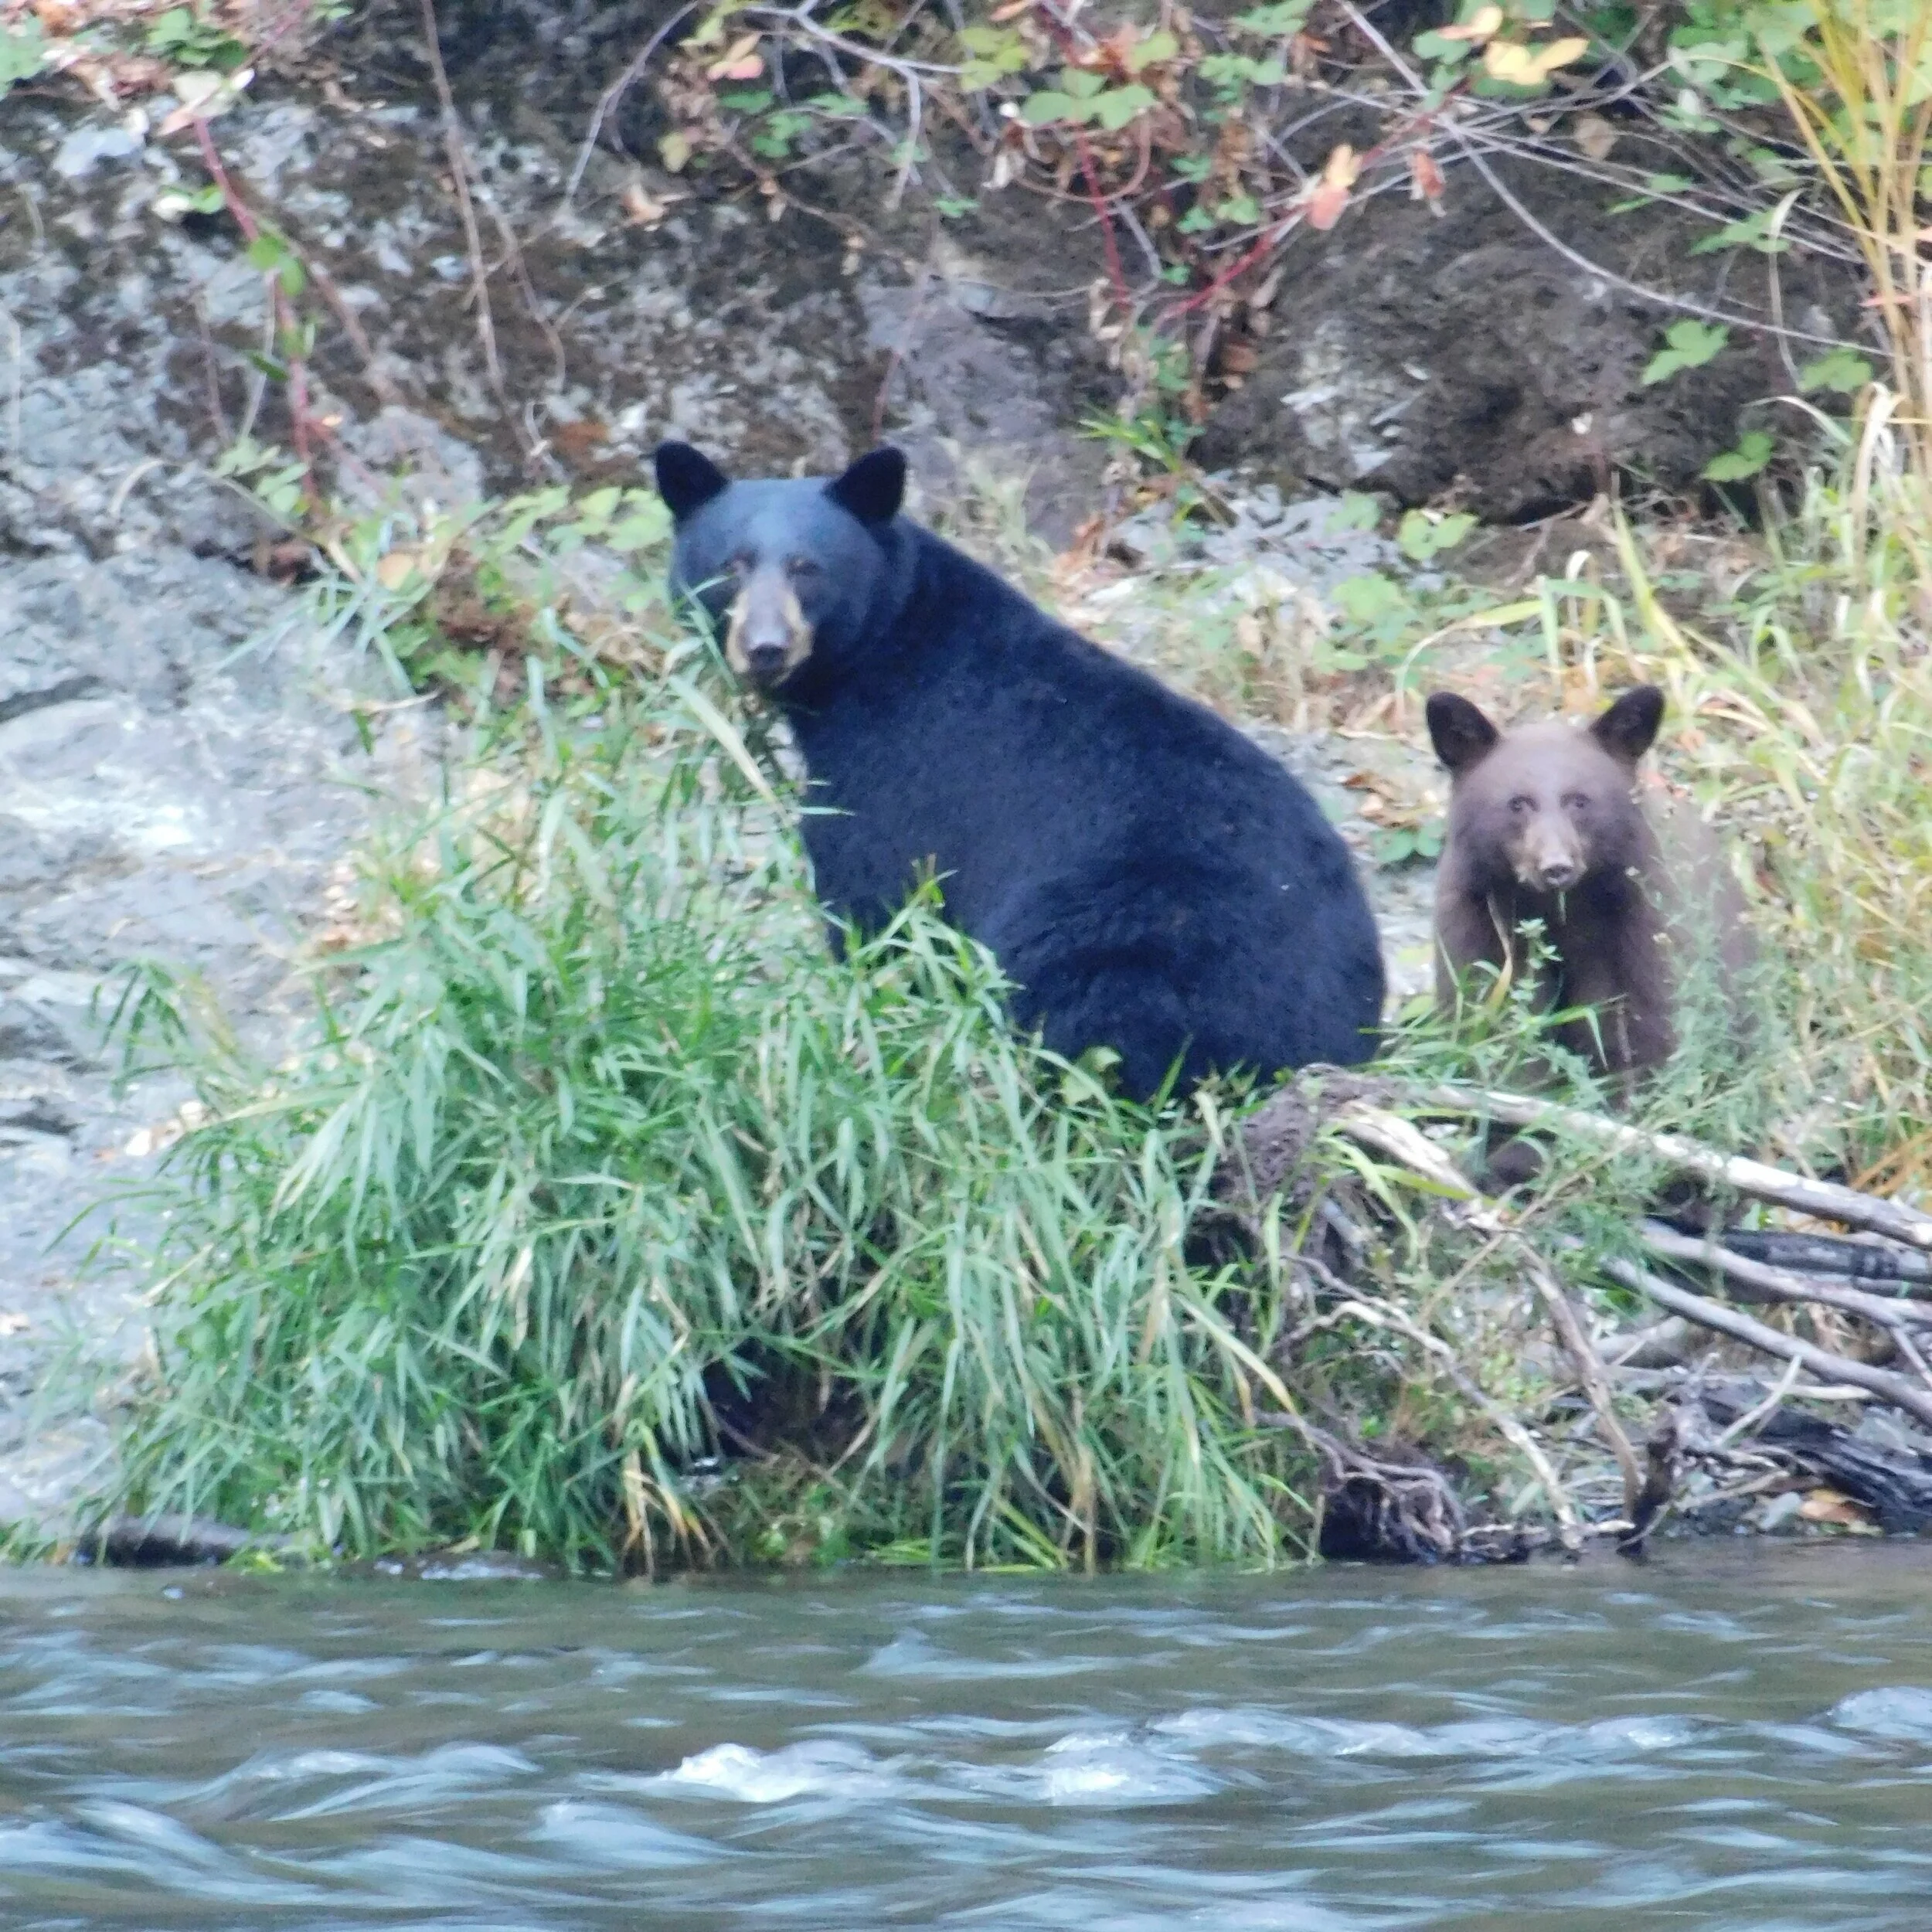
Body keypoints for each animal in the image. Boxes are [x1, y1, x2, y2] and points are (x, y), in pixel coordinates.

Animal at [653, 439, 1386, 1099]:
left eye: (808, 568)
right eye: (732, 565)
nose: (766, 648)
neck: (877, 658)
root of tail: (1329, 1045)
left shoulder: (893, 772)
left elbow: (878, 898)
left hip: (1139, 930)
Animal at [1425, 684, 1750, 1095]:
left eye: (1579, 800)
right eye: (1518, 803)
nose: (1556, 867)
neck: (1562, 911)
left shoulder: (1640, 921)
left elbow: (1647, 1022)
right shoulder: (1479, 915)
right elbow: (1489, 1011)